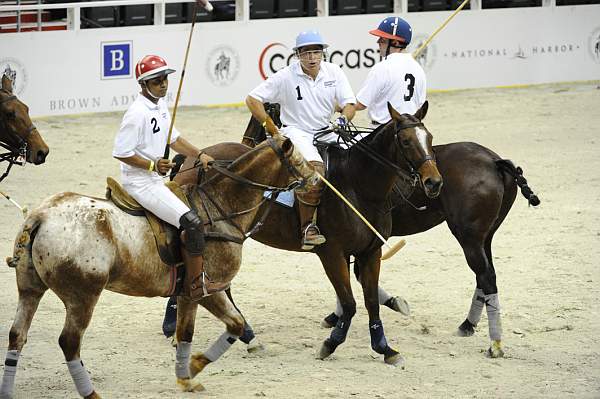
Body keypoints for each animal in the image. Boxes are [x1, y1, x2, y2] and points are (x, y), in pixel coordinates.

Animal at [1, 136, 314, 398]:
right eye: (298, 159)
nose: (315, 180)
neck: (221, 209)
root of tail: (40, 216)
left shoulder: (193, 292)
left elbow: (211, 329)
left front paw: (189, 374)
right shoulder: (206, 288)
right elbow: (214, 327)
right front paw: (193, 368)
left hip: (30, 288)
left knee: (17, 335)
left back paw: (8, 390)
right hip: (83, 296)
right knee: (69, 342)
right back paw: (91, 393)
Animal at [171, 102, 442, 372]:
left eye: (429, 137)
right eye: (405, 141)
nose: (434, 182)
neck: (358, 187)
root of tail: (196, 157)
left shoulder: (370, 252)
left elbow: (371, 301)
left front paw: (385, 349)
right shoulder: (332, 253)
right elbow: (349, 303)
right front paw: (331, 343)